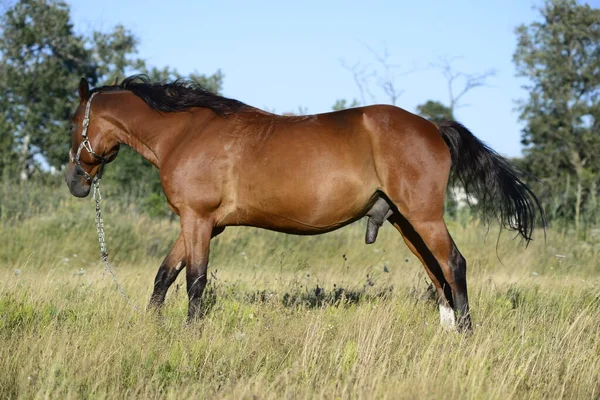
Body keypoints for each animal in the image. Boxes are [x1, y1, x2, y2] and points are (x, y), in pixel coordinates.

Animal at [65, 75, 544, 332]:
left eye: (73, 123)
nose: (75, 182)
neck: (186, 133)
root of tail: (431, 126)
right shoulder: (198, 223)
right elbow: (164, 276)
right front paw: (153, 327)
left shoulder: (197, 220)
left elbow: (194, 282)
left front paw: (189, 333)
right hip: (405, 222)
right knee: (436, 271)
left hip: (423, 217)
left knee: (454, 264)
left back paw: (466, 333)